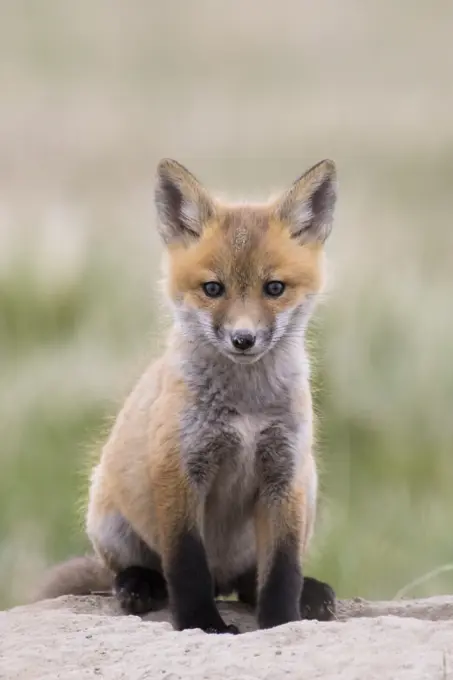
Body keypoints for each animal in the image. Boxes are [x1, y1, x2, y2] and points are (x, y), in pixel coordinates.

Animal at [35, 158, 338, 632]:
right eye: (213, 289)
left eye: (274, 288)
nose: (243, 339)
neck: (244, 409)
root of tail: (225, 578)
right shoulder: (179, 469)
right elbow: (186, 565)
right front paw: (203, 623)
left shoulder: (285, 474)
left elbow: (283, 569)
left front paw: (281, 622)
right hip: (107, 514)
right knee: (134, 570)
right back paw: (139, 586)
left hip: (307, 488)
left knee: (251, 582)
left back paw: (305, 591)